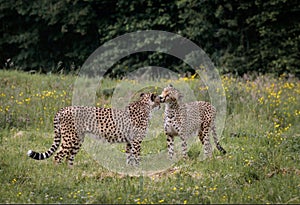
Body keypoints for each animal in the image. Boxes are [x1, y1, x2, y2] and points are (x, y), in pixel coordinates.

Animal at [27, 93, 161, 167]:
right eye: (159, 98)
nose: (161, 102)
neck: (145, 105)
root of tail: (64, 109)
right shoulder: (137, 141)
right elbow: (137, 156)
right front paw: (139, 169)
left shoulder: (130, 141)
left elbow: (129, 156)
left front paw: (129, 169)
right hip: (70, 138)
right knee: (58, 155)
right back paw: (59, 174)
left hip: (78, 140)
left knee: (69, 157)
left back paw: (70, 173)